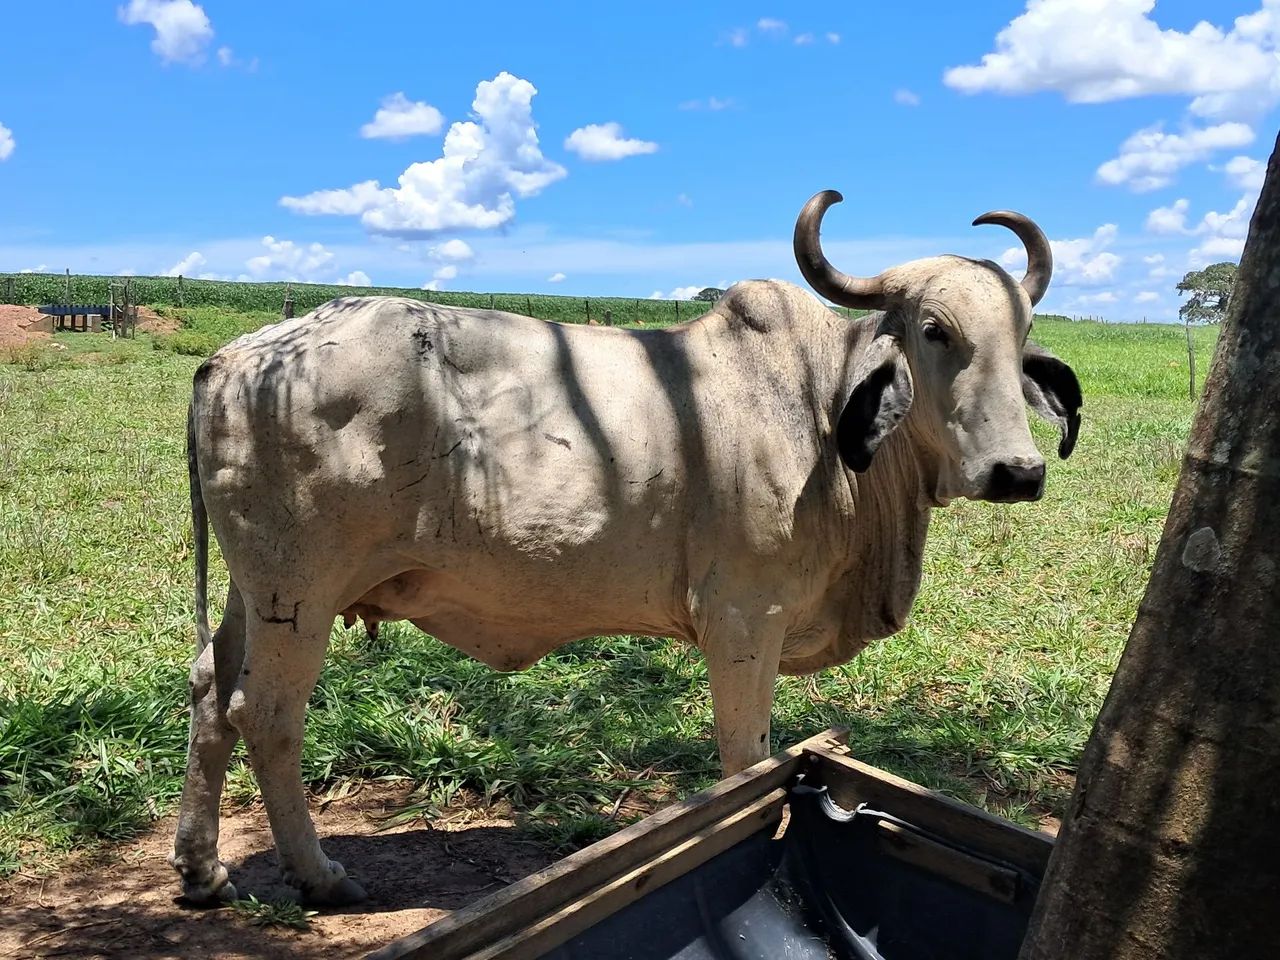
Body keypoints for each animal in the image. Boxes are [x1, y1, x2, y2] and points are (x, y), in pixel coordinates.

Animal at [170, 190, 1081, 906]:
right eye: (934, 330)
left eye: (1022, 332)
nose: (1018, 471)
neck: (821, 407)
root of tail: (233, 357)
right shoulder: (744, 620)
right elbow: (744, 756)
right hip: (301, 595)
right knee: (266, 716)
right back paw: (320, 876)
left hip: (256, 592)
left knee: (210, 692)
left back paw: (201, 869)